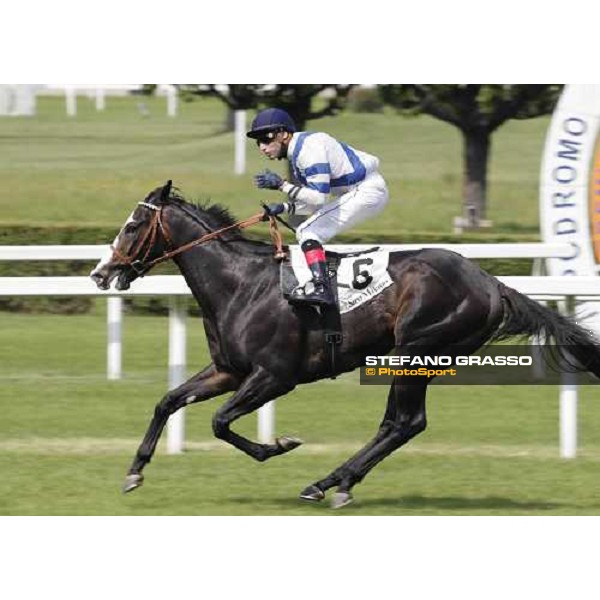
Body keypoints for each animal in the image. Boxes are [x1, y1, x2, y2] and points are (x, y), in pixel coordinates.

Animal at [90, 180, 600, 508]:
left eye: (133, 225)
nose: (101, 273)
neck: (240, 284)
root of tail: (492, 283)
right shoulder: (229, 371)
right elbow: (168, 401)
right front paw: (134, 471)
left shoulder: (275, 376)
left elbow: (219, 422)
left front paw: (279, 444)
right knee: (398, 423)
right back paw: (335, 481)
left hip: (414, 349)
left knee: (405, 422)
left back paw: (328, 482)